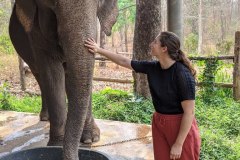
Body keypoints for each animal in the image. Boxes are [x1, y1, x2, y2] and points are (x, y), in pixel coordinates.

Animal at [9, 0, 118, 159]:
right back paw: (45, 118)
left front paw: (90, 139)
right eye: (52, 3)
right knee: (40, 77)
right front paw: (57, 145)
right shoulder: (36, 35)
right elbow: (53, 75)